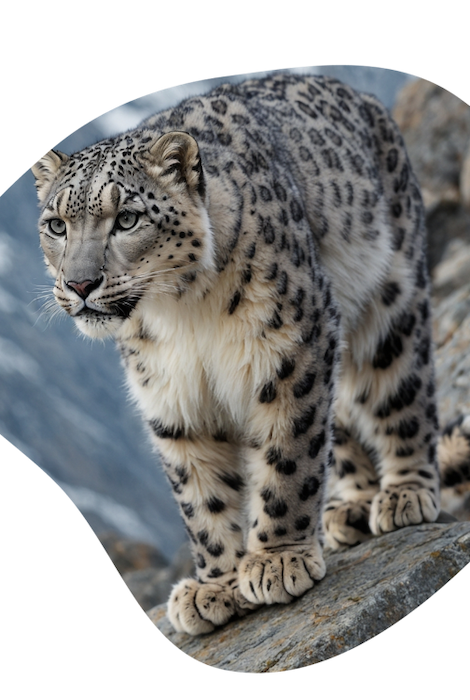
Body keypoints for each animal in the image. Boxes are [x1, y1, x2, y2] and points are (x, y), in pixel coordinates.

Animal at [31, 72, 470, 636]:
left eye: (126, 218)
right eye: (56, 225)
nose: (80, 284)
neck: (182, 315)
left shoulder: (291, 350)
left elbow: (288, 454)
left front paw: (276, 560)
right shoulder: (170, 392)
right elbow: (200, 491)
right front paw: (215, 585)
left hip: (390, 298)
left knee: (401, 390)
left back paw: (404, 493)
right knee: (341, 421)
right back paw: (350, 508)